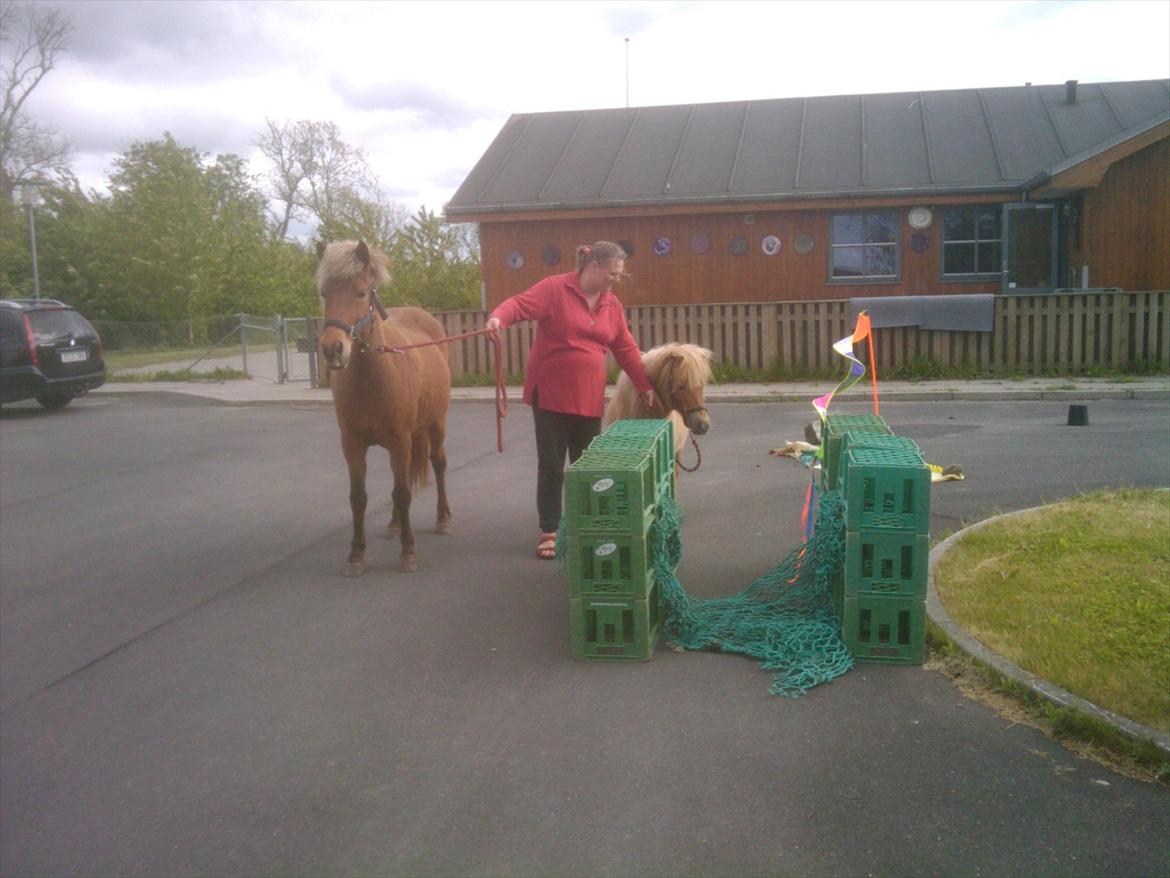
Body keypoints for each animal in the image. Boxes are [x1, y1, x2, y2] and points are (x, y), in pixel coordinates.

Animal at [315, 241, 451, 573]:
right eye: (324, 293)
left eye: (361, 292)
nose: (332, 349)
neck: (371, 378)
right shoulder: (352, 444)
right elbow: (358, 497)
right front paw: (356, 554)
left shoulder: (400, 441)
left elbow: (403, 494)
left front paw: (408, 552)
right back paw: (393, 525)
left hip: (436, 423)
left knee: (438, 463)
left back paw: (442, 519)